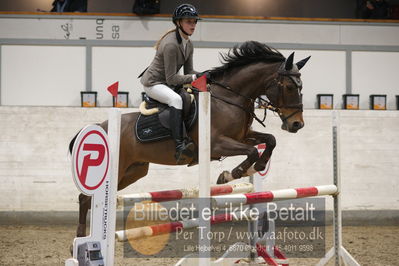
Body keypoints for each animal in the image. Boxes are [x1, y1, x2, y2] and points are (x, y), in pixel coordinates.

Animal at [71, 40, 310, 236]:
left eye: (301, 88)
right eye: (290, 87)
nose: (297, 124)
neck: (230, 98)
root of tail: (102, 126)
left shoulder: (243, 136)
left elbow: (270, 140)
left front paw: (256, 167)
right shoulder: (216, 144)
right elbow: (251, 151)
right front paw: (231, 174)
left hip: (133, 171)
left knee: (92, 198)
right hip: (118, 168)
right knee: (85, 198)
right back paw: (80, 238)